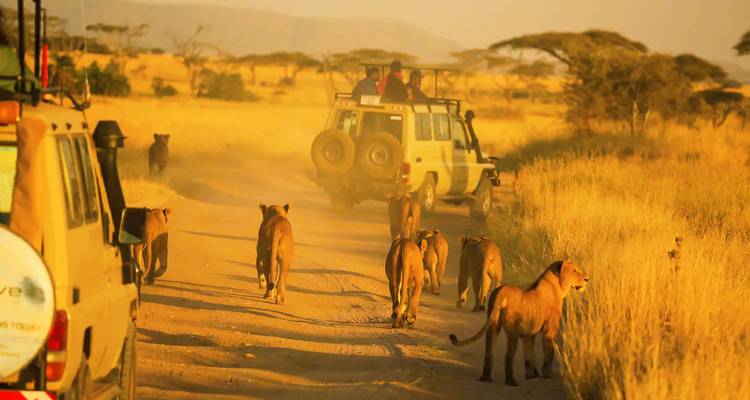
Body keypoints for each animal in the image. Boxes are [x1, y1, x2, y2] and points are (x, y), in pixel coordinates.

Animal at [449, 260, 589, 386]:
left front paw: (532, 375)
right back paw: (511, 381)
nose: (587, 279)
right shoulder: (550, 329)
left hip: (493, 326)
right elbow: (549, 351)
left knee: (489, 352)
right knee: (508, 357)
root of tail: (501, 292)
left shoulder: (529, 333)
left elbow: (528, 355)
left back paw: (485, 378)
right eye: (575, 270)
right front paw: (547, 374)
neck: (557, 286)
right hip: (513, 332)